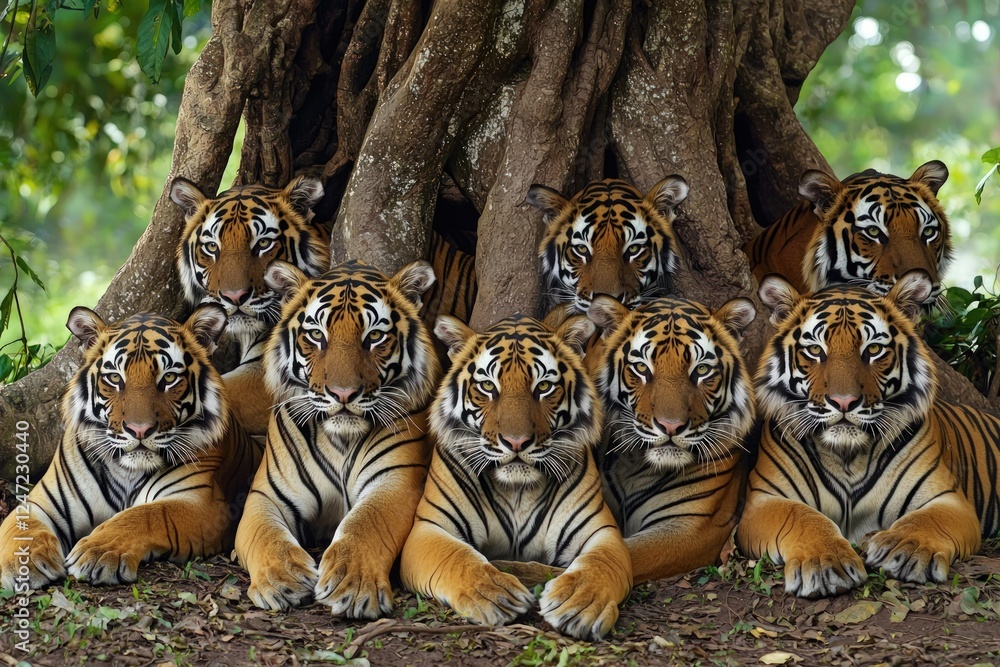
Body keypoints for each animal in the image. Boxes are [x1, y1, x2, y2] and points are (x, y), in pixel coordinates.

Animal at [0, 306, 261, 590]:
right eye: (115, 377)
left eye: (169, 378)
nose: (139, 430)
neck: (126, 470)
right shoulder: (44, 500)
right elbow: (20, 525)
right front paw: (22, 561)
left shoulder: (204, 504)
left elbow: (145, 515)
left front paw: (97, 553)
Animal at [234, 259, 441, 619]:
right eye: (317, 335)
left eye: (375, 337)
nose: (343, 394)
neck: (340, 440)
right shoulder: (268, 493)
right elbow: (265, 533)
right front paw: (281, 579)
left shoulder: (395, 481)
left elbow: (367, 523)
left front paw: (353, 585)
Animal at [400, 314, 633, 641]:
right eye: (487, 386)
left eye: (544, 386)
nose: (516, 442)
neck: (517, 490)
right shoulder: (429, 528)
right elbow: (456, 557)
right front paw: (493, 593)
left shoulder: (601, 531)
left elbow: (599, 564)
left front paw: (579, 603)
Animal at [736, 269, 1000, 598]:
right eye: (815, 350)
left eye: (873, 350)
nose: (844, 402)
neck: (847, 455)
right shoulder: (764, 500)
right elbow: (802, 517)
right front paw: (825, 562)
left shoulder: (948, 499)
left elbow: (927, 519)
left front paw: (905, 548)